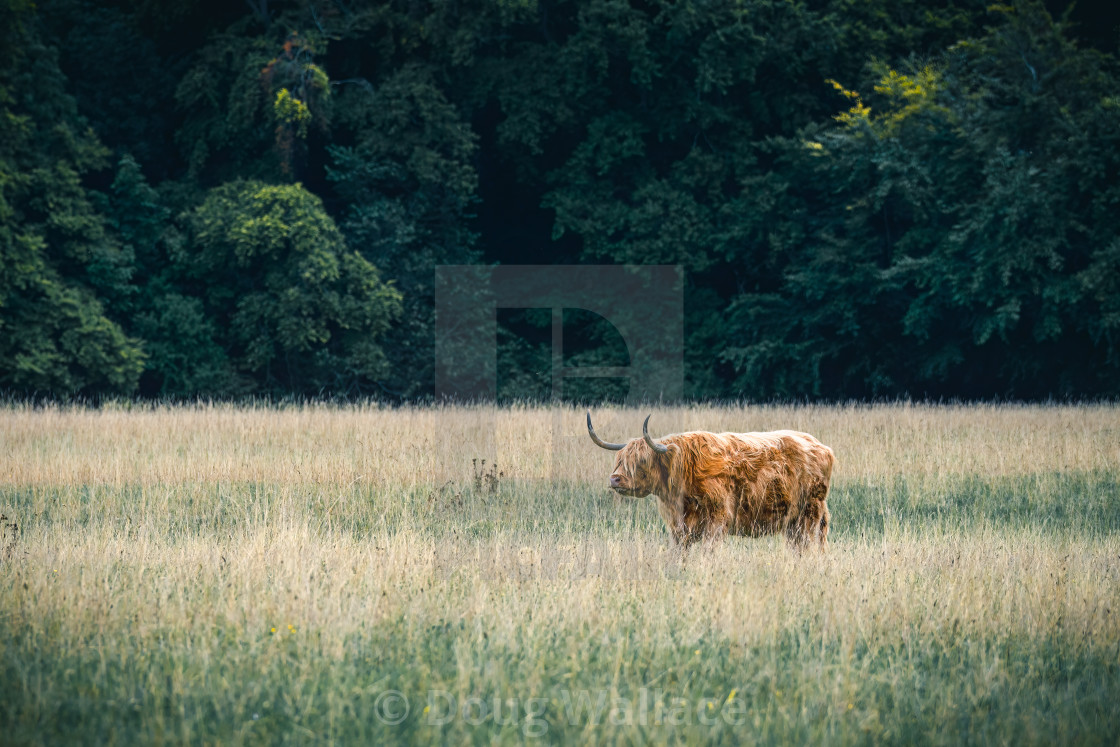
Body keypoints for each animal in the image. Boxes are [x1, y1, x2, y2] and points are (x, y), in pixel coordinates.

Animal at [591, 412, 837, 553]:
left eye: (641, 461)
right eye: (619, 461)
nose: (615, 479)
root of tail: (821, 446)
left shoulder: (718, 518)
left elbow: (709, 551)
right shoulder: (680, 527)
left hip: (809, 514)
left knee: (808, 544)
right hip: (794, 521)